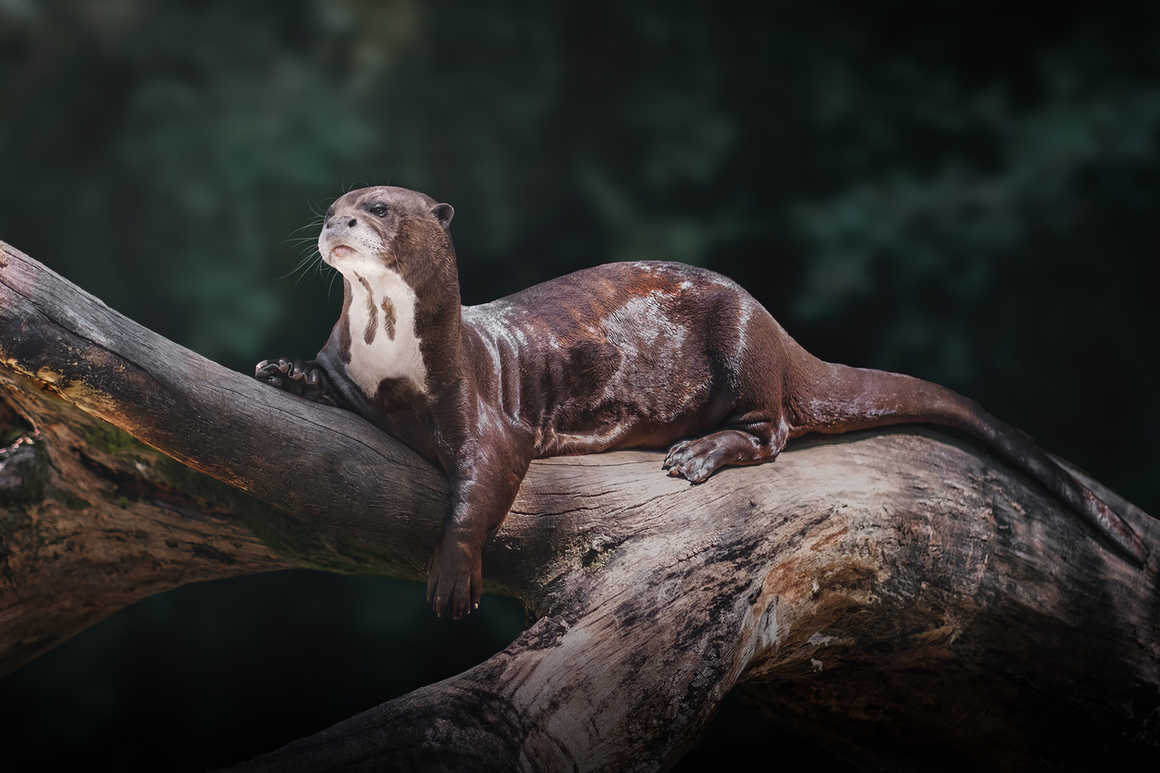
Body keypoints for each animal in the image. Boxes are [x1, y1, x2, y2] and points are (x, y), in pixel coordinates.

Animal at [255, 185, 1146, 618]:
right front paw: (281, 369)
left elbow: (480, 484)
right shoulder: (350, 367)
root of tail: (778, 326)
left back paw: (695, 454)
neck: (390, 356)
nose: (335, 223)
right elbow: (323, 379)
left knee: (774, 428)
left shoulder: (482, 408)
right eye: (333, 205)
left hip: (743, 346)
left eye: (377, 208)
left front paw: (452, 573)